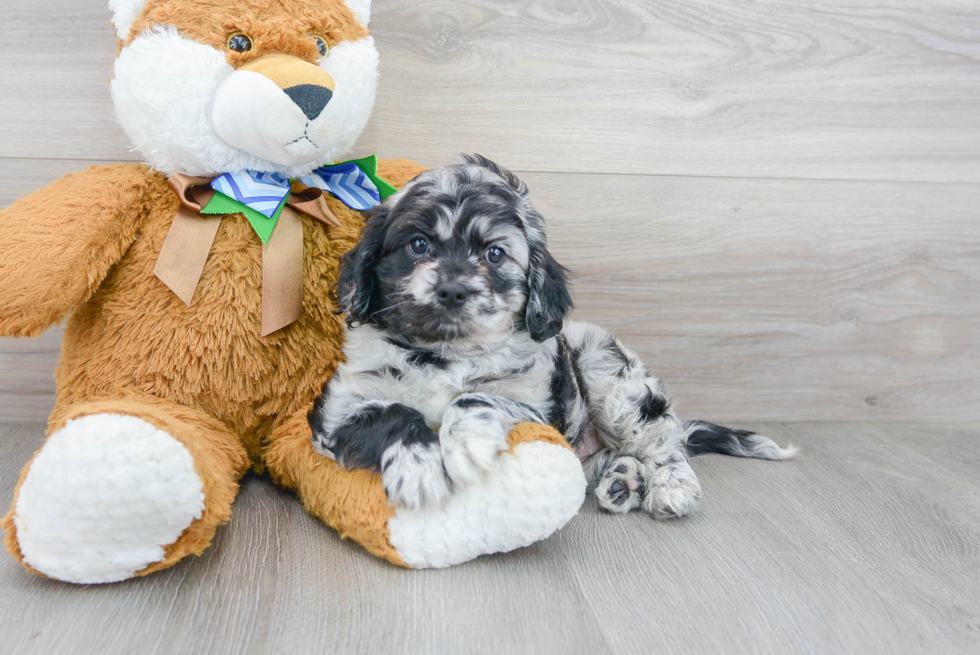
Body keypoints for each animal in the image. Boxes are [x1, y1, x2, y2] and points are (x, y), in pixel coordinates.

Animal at [308, 155, 796, 516]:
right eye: (418, 245)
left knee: (664, 441)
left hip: (612, 377)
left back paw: (670, 486)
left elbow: (476, 397)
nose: (452, 290)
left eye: (495, 254)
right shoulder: (337, 410)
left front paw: (464, 444)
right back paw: (623, 481)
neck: (445, 355)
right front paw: (418, 467)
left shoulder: (533, 407)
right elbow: (394, 411)